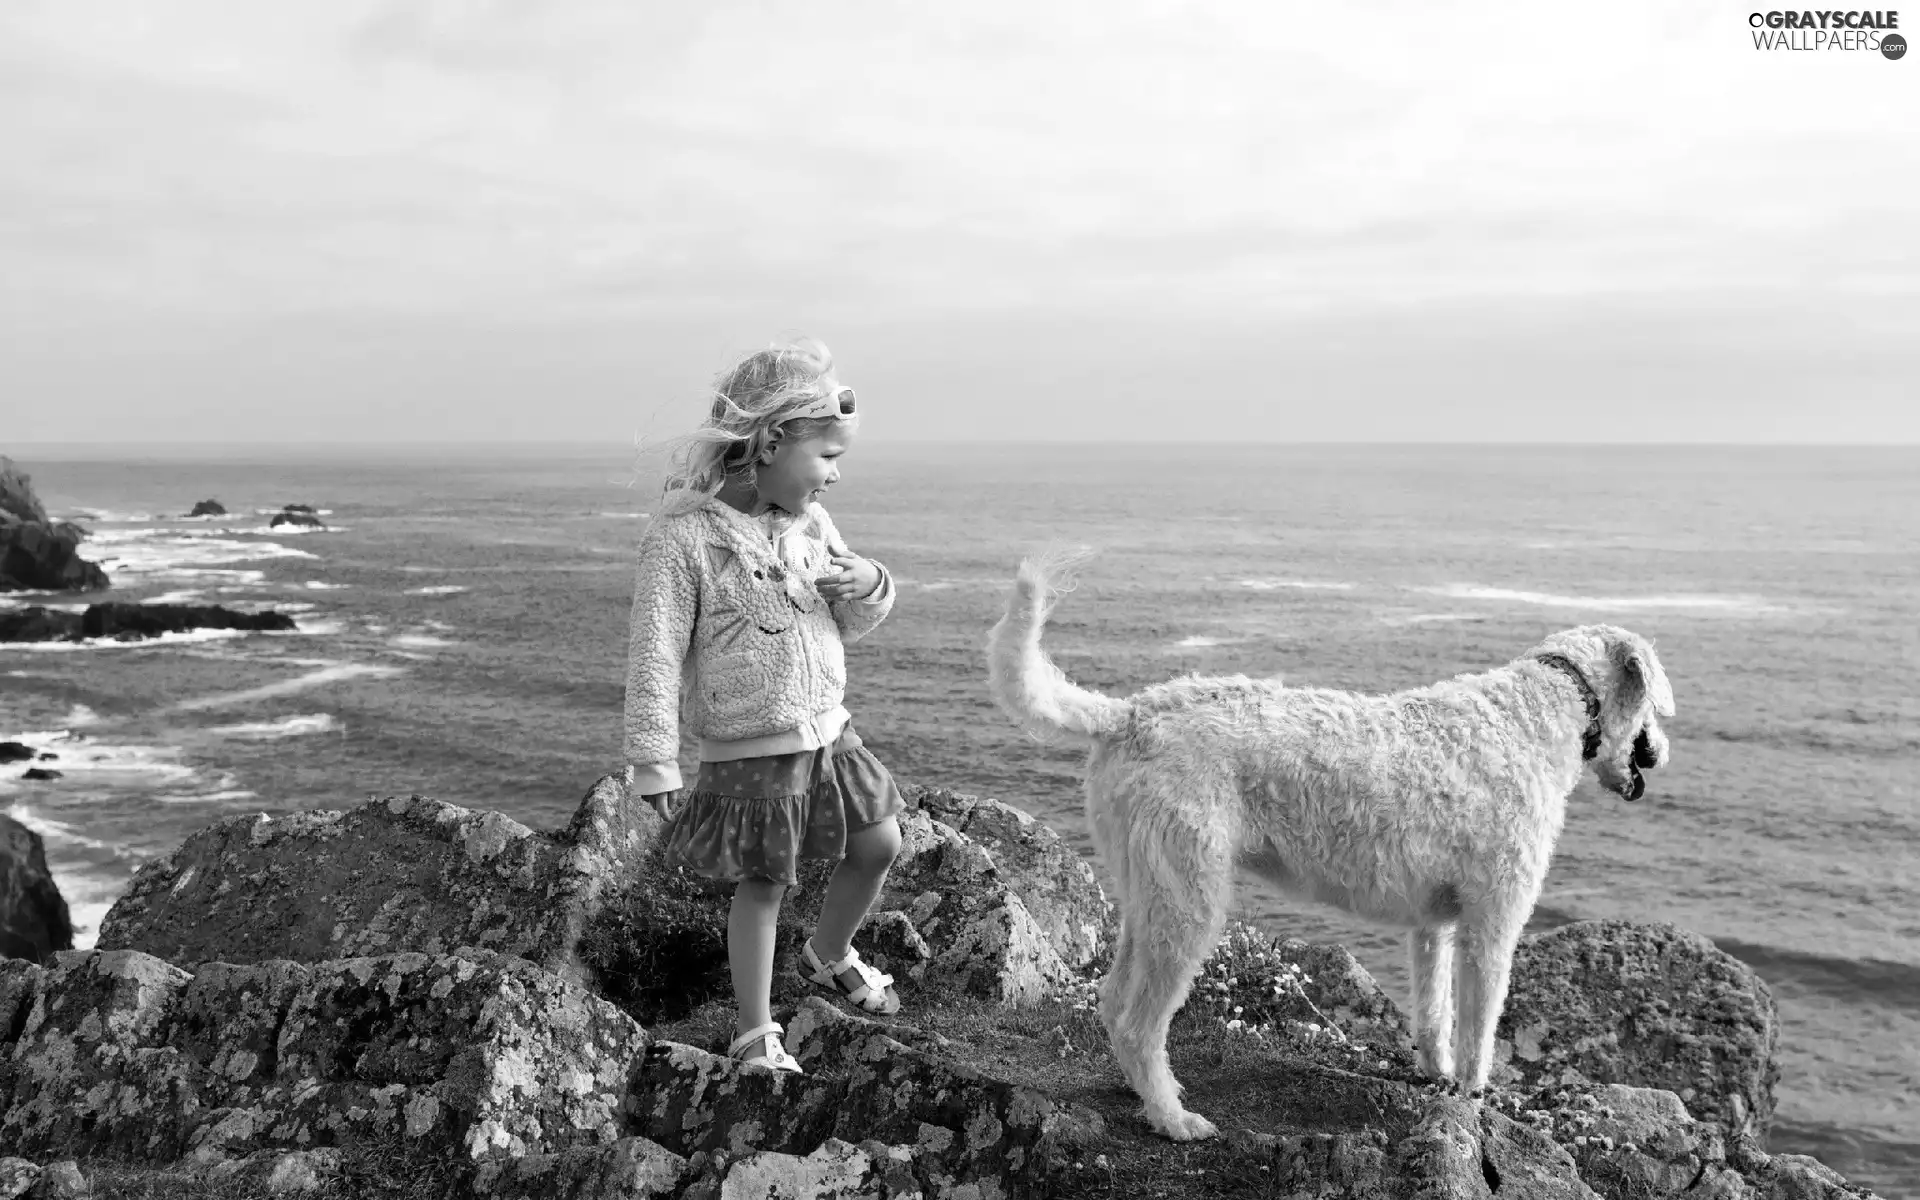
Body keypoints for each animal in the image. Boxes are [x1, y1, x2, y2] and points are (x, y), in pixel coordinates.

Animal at [983, 556, 1674, 1136]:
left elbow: (1433, 1012)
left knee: (1112, 1001)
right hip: (1188, 899)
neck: (1542, 712)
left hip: (1150, 886)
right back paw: (1174, 1119)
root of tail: (1128, 714)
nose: (1662, 752)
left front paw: (1436, 1077)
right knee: (1137, 1021)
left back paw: (1150, 1097)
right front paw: (1475, 1100)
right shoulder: (1492, 923)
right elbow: (1478, 1030)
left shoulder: (1433, 924)